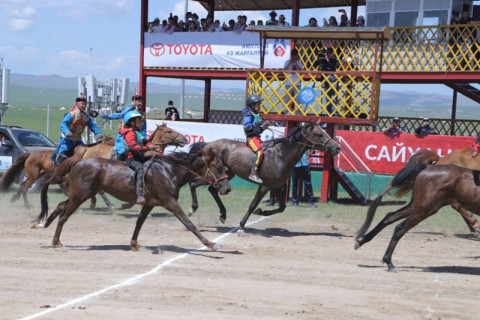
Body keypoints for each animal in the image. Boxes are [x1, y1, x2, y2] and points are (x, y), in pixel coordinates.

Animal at [33, 147, 231, 250]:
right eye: (218, 167)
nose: (227, 188)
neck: (170, 171)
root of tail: (79, 160)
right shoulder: (170, 202)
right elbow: (189, 224)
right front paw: (211, 244)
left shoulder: (149, 204)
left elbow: (139, 223)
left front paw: (134, 244)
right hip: (80, 196)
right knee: (64, 216)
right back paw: (56, 242)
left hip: (80, 195)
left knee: (60, 206)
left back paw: (44, 224)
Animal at [188, 121, 342, 229]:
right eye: (320, 134)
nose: (337, 147)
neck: (281, 155)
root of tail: (208, 145)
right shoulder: (265, 186)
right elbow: (252, 205)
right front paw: (242, 225)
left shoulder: (277, 186)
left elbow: (281, 207)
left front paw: (261, 212)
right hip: (214, 175)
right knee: (194, 184)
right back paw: (194, 208)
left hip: (224, 176)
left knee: (207, 188)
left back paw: (222, 214)